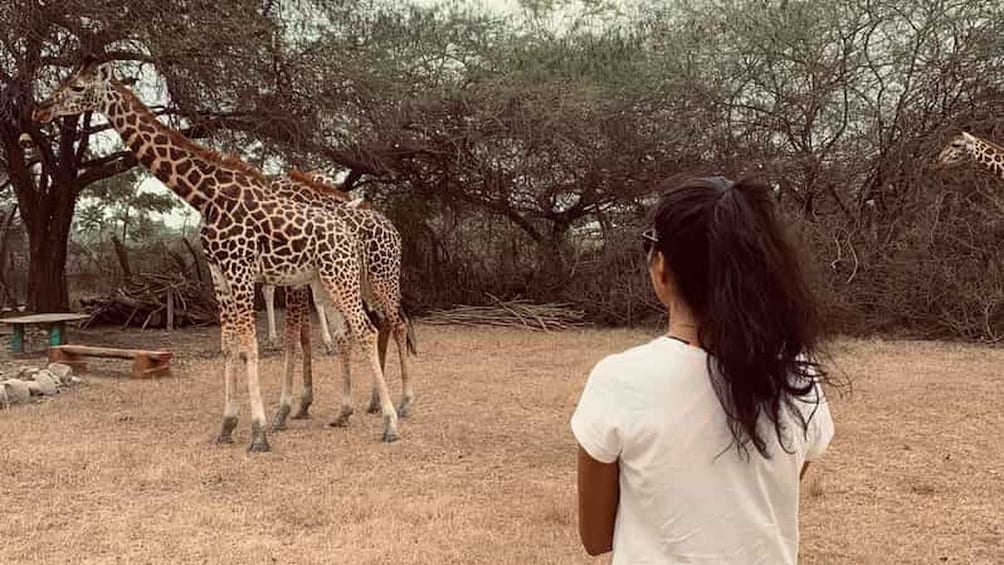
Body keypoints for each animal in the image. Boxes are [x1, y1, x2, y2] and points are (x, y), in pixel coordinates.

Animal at [34, 60, 403, 451]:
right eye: (67, 80)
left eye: (78, 87)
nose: (41, 110)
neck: (207, 196)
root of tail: (349, 234)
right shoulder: (219, 275)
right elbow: (229, 347)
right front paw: (227, 425)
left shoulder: (241, 270)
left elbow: (251, 346)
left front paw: (259, 432)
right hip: (322, 281)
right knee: (353, 332)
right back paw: (349, 412)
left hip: (343, 277)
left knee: (368, 329)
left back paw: (391, 421)